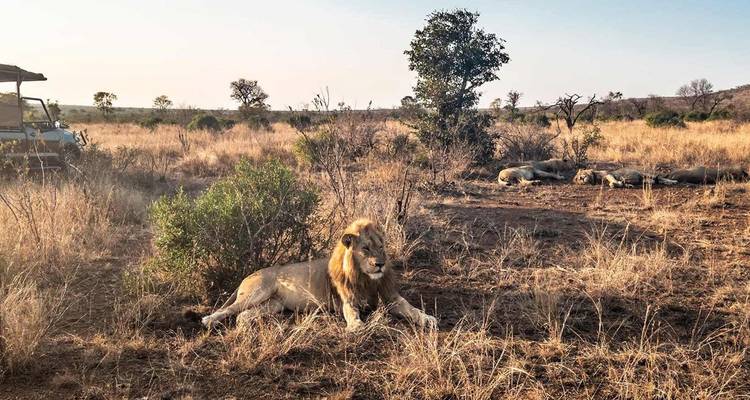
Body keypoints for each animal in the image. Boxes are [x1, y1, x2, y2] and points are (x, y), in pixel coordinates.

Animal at [201, 218, 438, 331]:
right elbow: (352, 313)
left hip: (273, 304)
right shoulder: (348, 301)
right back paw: (208, 320)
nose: (380, 264)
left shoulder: (391, 298)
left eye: (381, 247)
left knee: (242, 315)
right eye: (366, 249)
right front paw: (356, 326)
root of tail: (248, 275)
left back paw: (246, 325)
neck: (366, 279)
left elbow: (412, 309)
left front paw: (428, 319)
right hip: (258, 291)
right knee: (229, 309)